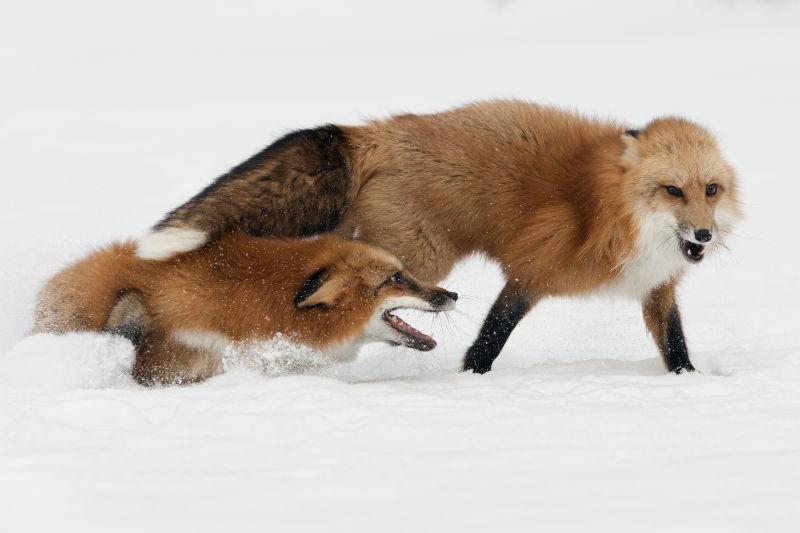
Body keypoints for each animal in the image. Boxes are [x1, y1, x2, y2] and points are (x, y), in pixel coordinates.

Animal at [133, 100, 744, 374]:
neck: (613, 213)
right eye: (672, 190)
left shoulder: (657, 288)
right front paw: (470, 381)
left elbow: (675, 345)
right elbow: (491, 336)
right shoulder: (532, 272)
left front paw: (688, 383)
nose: (704, 234)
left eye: (710, 189)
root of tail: (372, 132)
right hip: (411, 259)